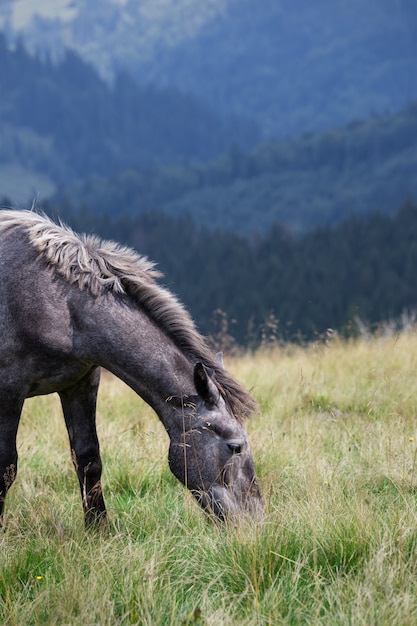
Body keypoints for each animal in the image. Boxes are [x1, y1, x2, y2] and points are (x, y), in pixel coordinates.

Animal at [0, 210, 262, 520]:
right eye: (235, 447)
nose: (256, 520)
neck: (56, 301)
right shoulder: (9, 390)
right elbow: (5, 466)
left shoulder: (80, 383)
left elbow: (88, 458)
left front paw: (98, 527)